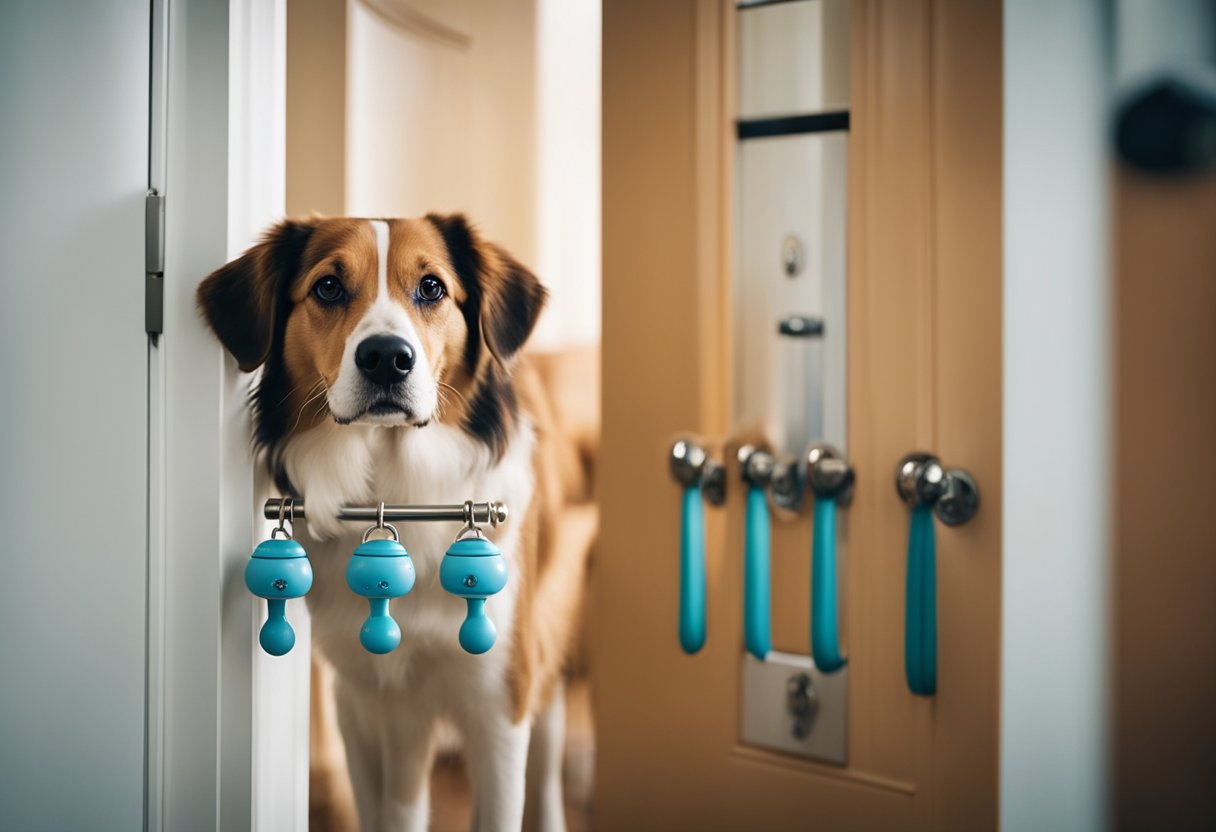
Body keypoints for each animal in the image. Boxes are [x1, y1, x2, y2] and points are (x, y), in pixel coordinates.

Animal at [196, 216, 586, 832]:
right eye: (328, 286)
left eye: (431, 287)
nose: (386, 357)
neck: (394, 485)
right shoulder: (361, 701)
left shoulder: (498, 705)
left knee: (546, 762)